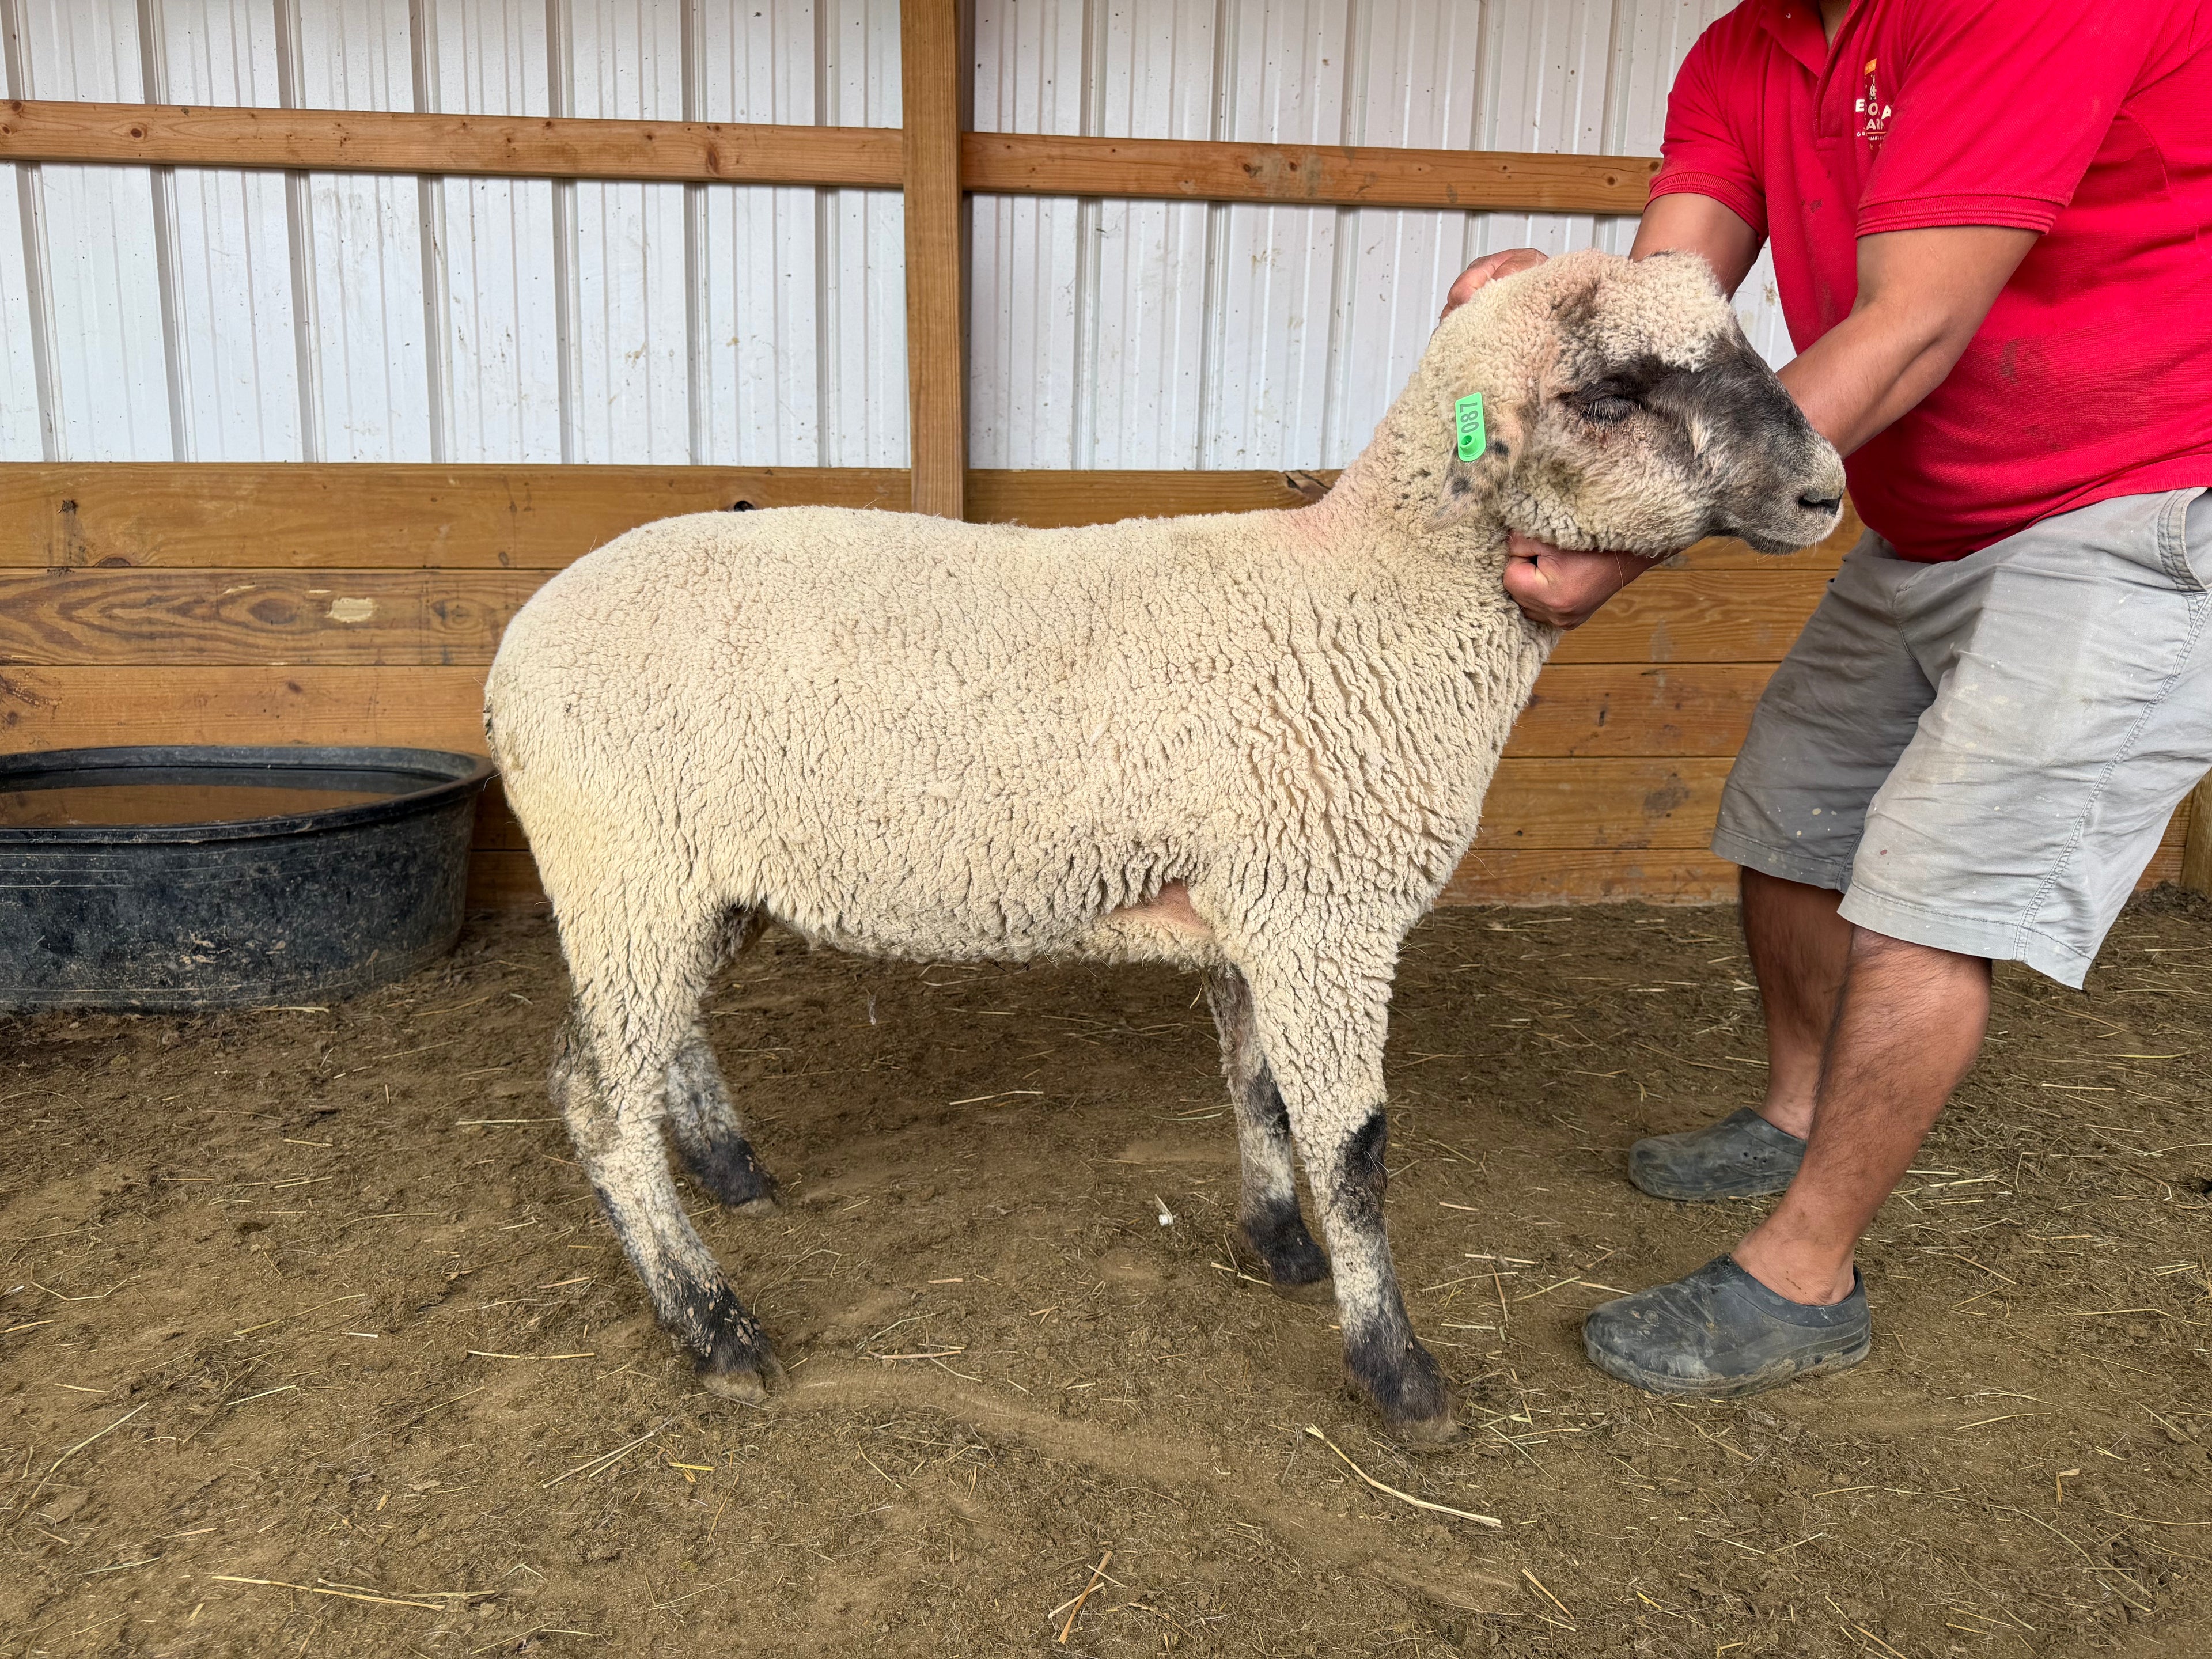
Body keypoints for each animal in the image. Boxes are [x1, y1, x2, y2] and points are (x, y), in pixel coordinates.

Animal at [484, 249, 1845, 1441]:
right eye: (1612, 390)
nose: (1826, 489)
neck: (1375, 600)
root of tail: (514, 654)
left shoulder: (1264, 914)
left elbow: (1263, 1095)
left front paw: (1282, 1244)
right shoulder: (1327, 917)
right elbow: (1356, 1148)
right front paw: (1399, 1373)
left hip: (690, 884)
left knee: (659, 1043)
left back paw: (728, 1168)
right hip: (626, 867)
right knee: (595, 1101)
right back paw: (714, 1325)